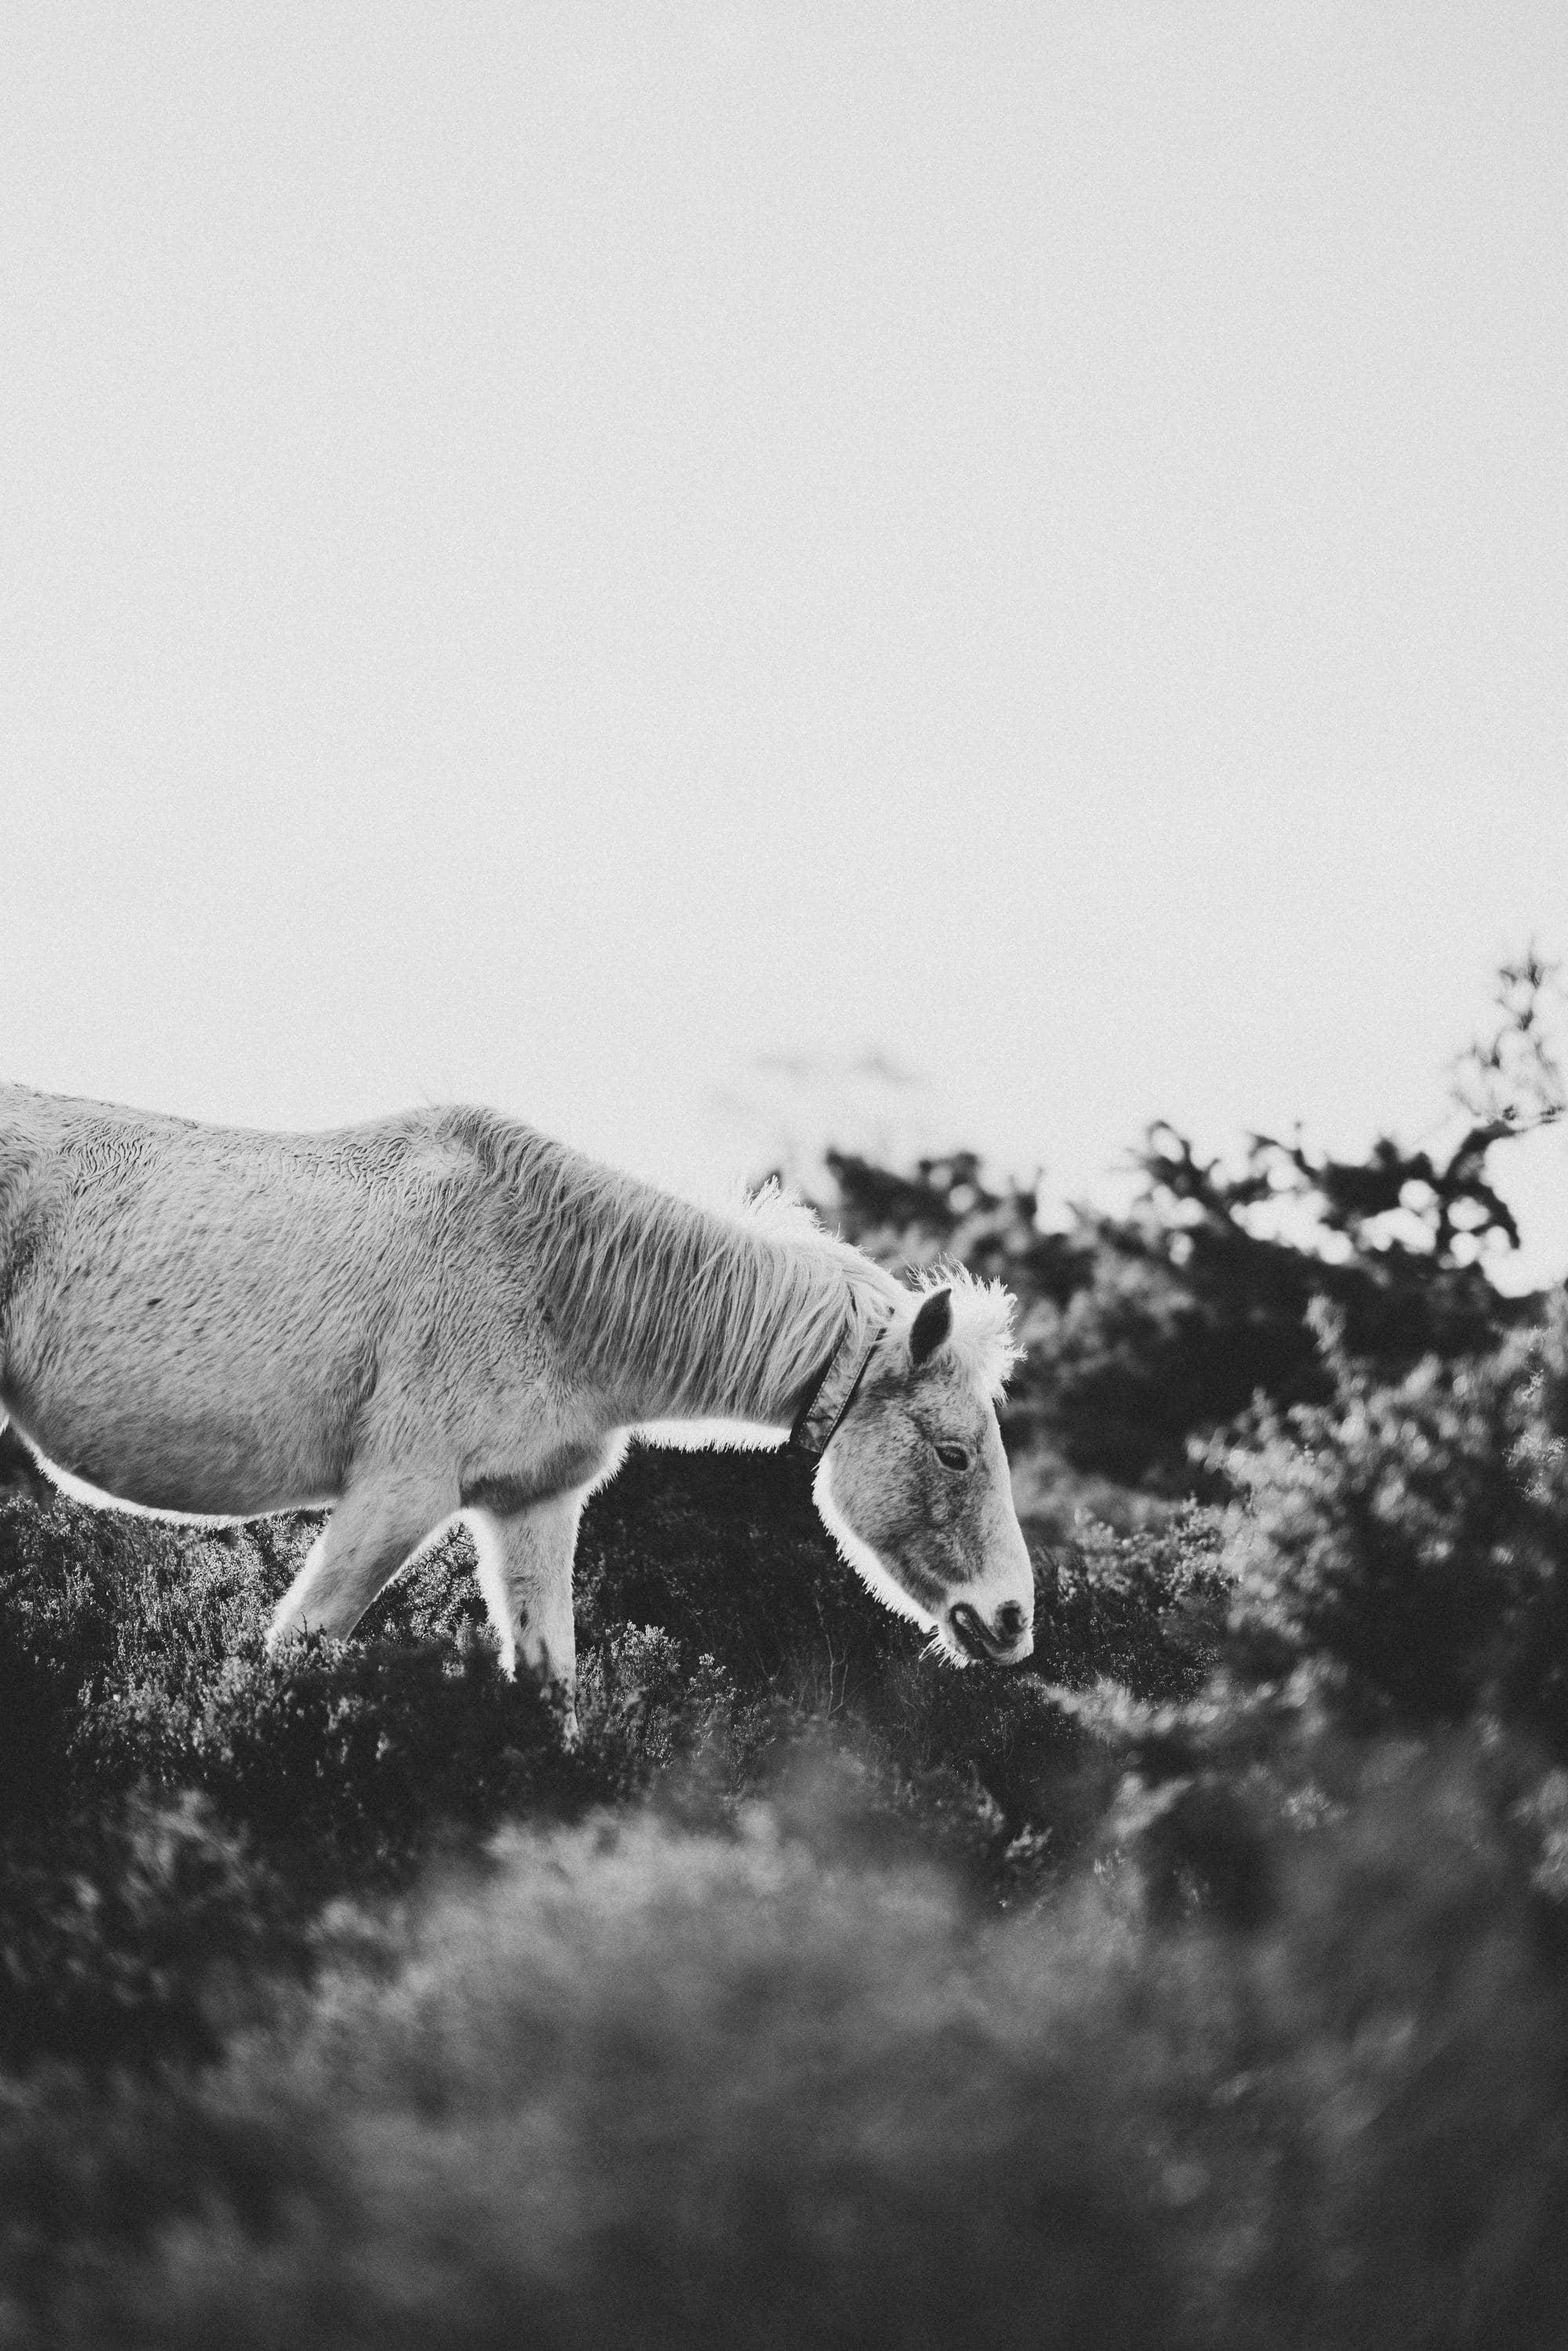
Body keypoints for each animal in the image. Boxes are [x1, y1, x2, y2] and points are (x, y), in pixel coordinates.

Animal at [0, 1081, 1044, 1711]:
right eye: (952, 1451)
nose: (1010, 1621)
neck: (552, 1279)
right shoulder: (397, 1495)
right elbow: (297, 1648)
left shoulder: (530, 1507)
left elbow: (549, 1689)